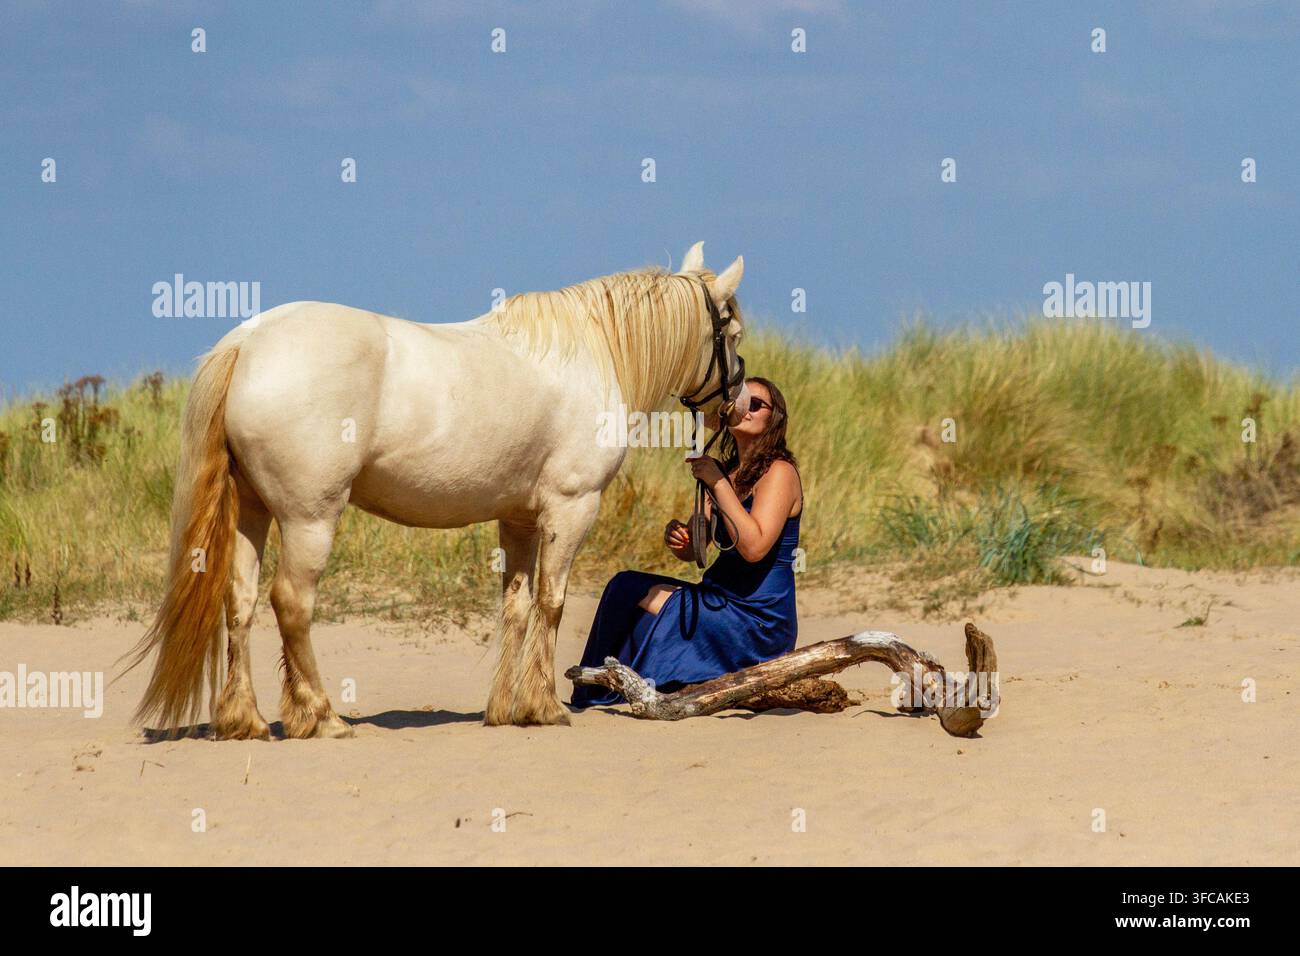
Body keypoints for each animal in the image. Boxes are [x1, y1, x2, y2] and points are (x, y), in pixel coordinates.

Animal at [121, 242, 751, 737]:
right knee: (291, 603)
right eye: (733, 331)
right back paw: (322, 718)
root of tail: (247, 343)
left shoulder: (518, 518)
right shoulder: (571, 509)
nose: (739, 402)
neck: (593, 352)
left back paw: (245, 720)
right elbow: (551, 603)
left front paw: (505, 711)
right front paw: (545, 707)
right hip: (309, 519)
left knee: (242, 601)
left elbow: (516, 608)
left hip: (251, 512)